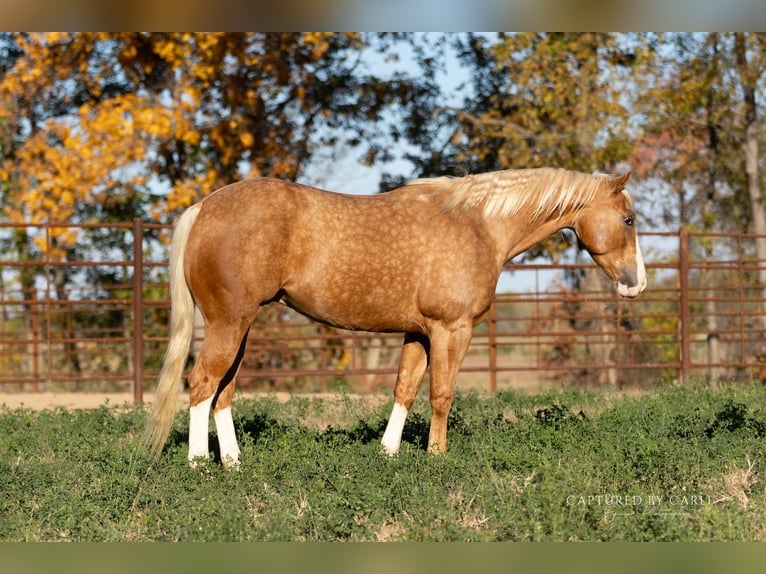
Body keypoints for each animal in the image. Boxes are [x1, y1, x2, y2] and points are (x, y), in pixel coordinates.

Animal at [142, 167, 646, 467]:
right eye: (629, 219)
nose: (636, 284)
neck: (479, 225)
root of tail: (203, 207)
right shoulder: (451, 330)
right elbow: (441, 395)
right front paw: (437, 457)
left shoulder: (417, 334)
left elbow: (405, 389)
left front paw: (388, 453)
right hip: (229, 323)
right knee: (202, 385)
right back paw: (199, 464)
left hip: (239, 326)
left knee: (222, 391)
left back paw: (233, 462)